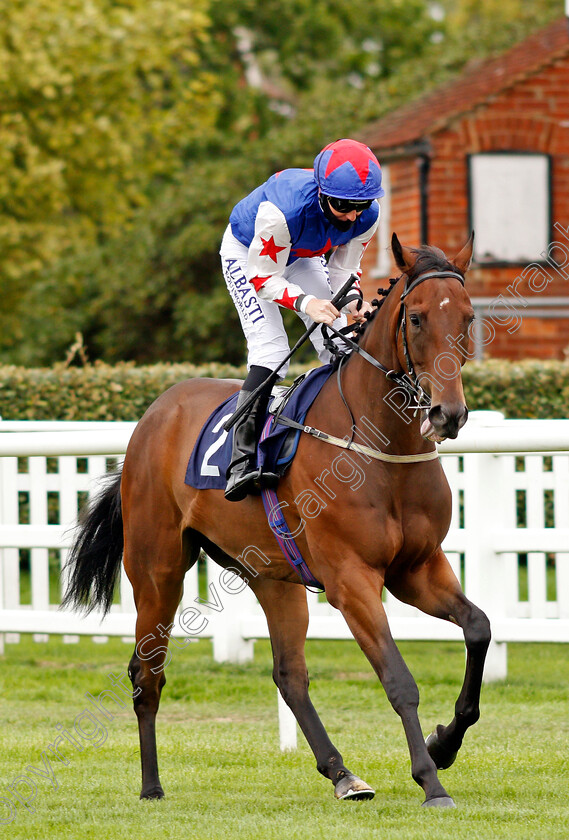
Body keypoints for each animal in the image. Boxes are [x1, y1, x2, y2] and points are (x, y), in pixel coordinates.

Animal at [61, 233, 488, 812]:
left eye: (467, 317)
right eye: (417, 318)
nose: (449, 413)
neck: (381, 448)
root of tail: (154, 414)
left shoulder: (417, 569)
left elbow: (479, 629)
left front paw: (444, 744)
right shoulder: (351, 580)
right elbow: (399, 679)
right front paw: (431, 780)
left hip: (271, 576)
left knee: (290, 674)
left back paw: (342, 773)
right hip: (158, 572)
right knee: (147, 673)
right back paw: (151, 784)